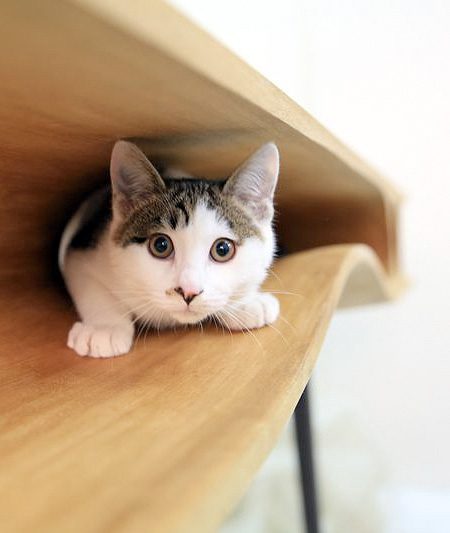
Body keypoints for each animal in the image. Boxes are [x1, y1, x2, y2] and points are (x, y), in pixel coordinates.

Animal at [58, 141, 280, 358]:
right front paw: (104, 327)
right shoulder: (82, 251)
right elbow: (90, 286)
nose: (189, 292)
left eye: (223, 249)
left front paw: (247, 302)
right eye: (160, 246)